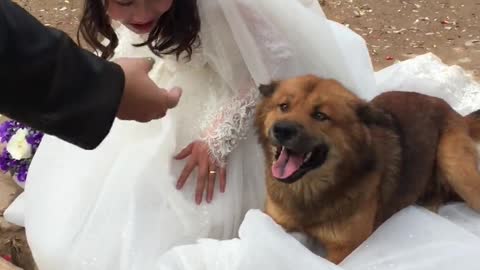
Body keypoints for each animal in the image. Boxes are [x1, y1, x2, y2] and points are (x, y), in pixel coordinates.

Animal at [256, 75, 480, 264]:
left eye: (320, 115)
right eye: (283, 106)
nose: (282, 129)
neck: (309, 193)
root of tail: (455, 113)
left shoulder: (344, 249)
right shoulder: (274, 222)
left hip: (455, 166)